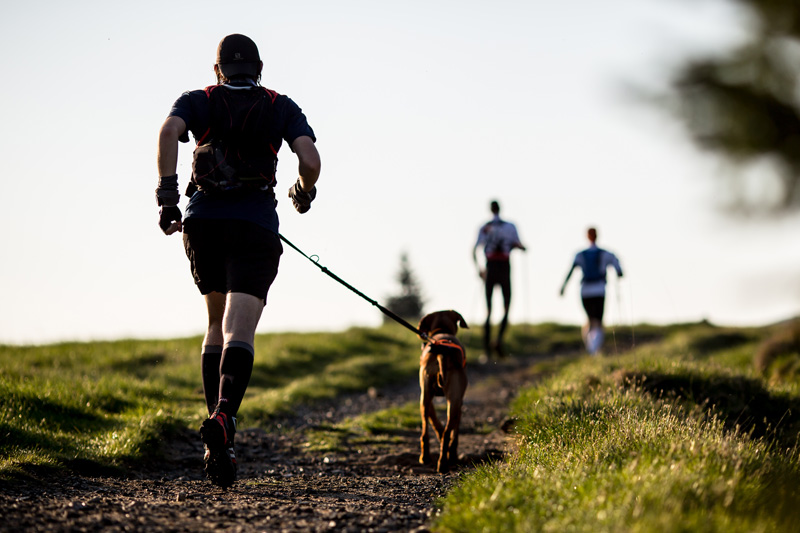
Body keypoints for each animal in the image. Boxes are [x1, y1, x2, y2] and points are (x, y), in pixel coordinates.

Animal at [418, 310, 468, 472]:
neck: (441, 331)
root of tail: (441, 352)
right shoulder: (459, 401)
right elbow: (455, 433)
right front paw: (452, 454)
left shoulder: (428, 397)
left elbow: (435, 423)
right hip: (454, 401)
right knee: (448, 432)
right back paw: (444, 463)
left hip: (425, 398)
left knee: (425, 432)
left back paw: (427, 458)